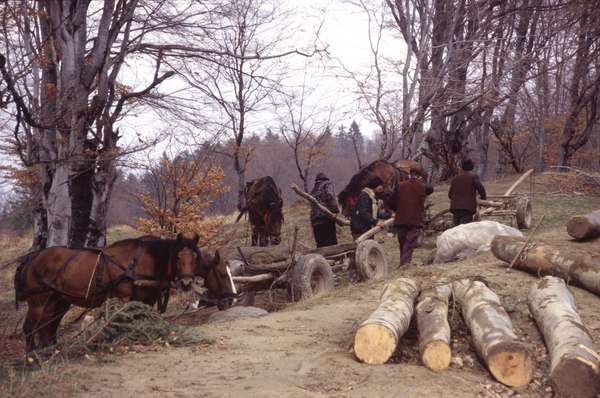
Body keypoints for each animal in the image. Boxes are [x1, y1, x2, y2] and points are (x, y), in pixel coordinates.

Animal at [12, 233, 236, 352]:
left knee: (47, 327)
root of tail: (30, 259)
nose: (231, 300)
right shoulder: (124, 298)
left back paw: (50, 351)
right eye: (222, 275)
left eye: (194, 258)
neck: (148, 259)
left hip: (59, 301)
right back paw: (32, 357)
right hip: (39, 301)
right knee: (30, 328)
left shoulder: (146, 299)